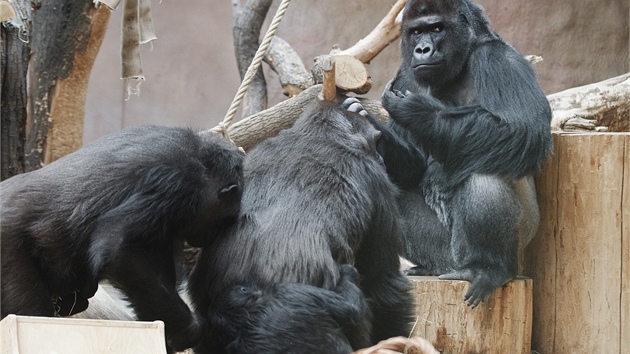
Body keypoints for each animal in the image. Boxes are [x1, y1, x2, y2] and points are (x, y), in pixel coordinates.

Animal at [0, 125, 244, 352]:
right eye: (223, 219)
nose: (209, 236)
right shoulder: (179, 185)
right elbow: (117, 249)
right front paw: (188, 330)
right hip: (7, 245)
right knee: (30, 307)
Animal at [346, 0, 552, 306]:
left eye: (437, 29)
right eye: (416, 32)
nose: (422, 49)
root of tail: (454, 267)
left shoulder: (500, 59)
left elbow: (524, 131)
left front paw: (422, 113)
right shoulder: (406, 75)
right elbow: (412, 165)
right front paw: (370, 126)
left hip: (511, 245)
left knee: (487, 169)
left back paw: (489, 267)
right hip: (443, 255)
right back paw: (426, 267)